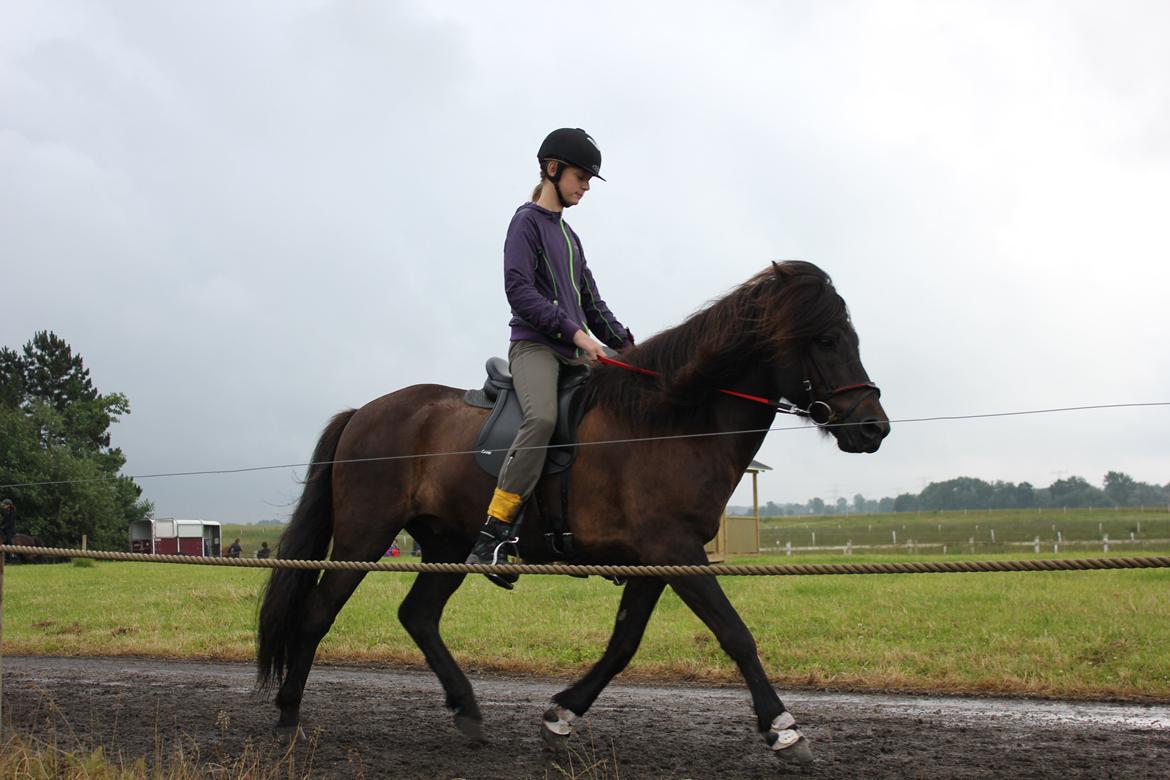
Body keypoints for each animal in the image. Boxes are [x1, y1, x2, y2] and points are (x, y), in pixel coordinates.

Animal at [260, 259, 889, 767]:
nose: (873, 427)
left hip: (445, 543)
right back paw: (288, 717)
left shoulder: (658, 560)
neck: (669, 420)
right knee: (316, 614)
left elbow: (623, 644)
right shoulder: (676, 551)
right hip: (364, 536)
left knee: (417, 615)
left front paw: (560, 716)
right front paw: (784, 730)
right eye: (827, 339)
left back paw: (466, 710)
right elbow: (735, 635)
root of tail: (363, 412)